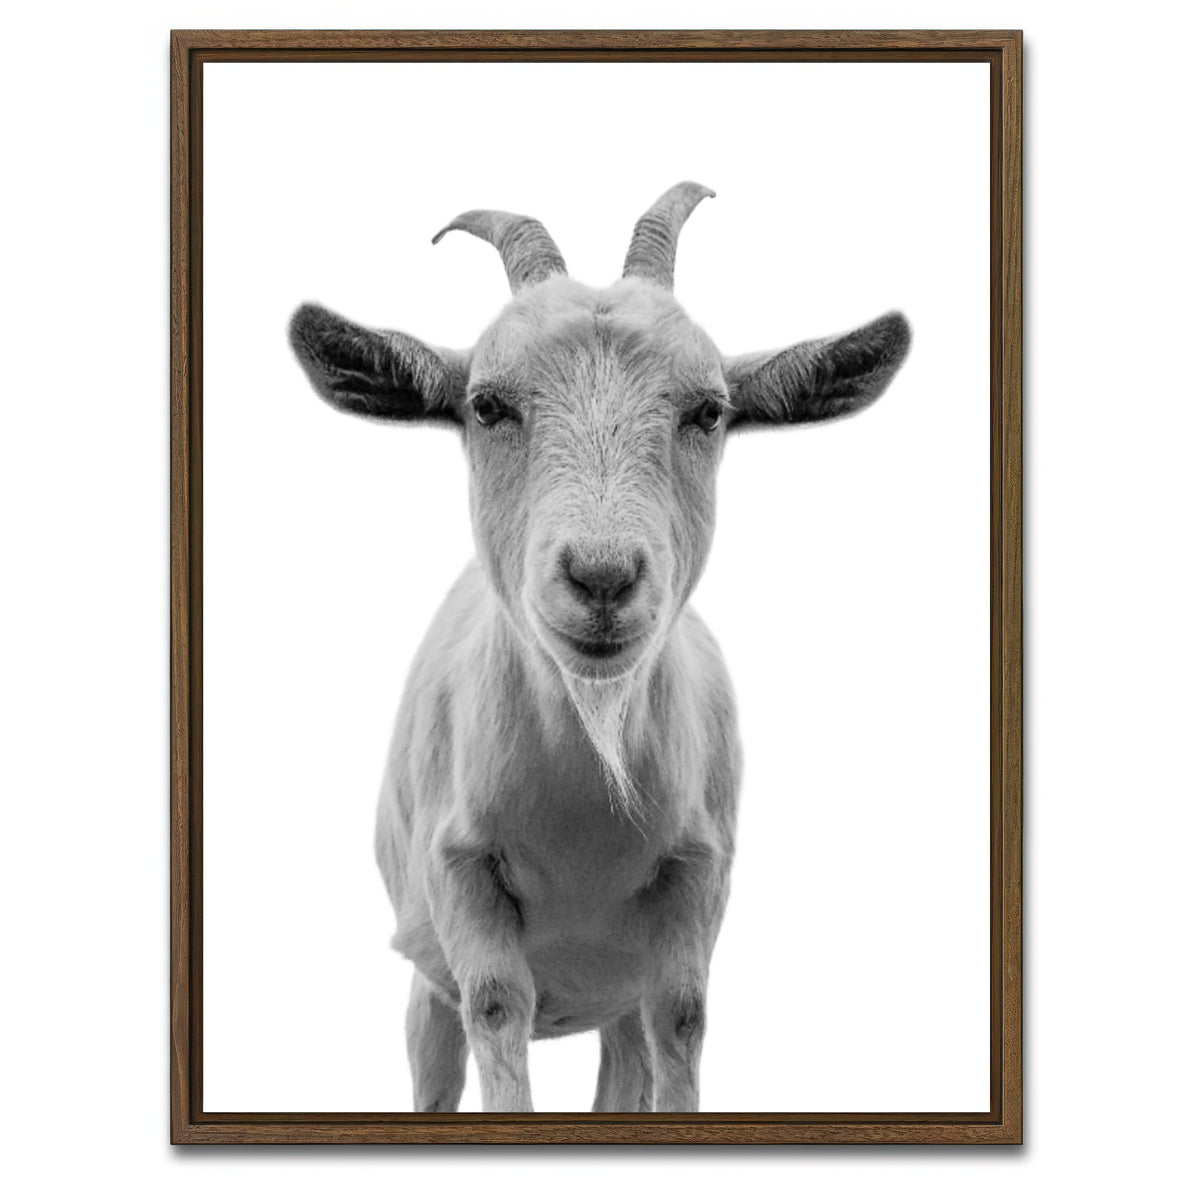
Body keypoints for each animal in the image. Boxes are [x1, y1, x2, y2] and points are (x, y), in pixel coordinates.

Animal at [288, 183, 911, 1113]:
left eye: (709, 411)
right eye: (487, 405)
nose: (603, 576)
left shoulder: (696, 879)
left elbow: (681, 1017)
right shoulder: (460, 875)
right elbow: (496, 1007)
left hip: (612, 999)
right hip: (425, 980)